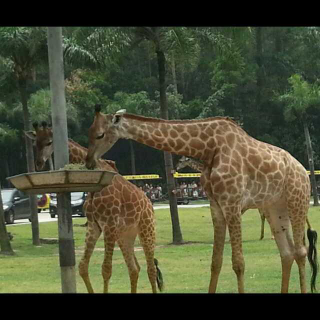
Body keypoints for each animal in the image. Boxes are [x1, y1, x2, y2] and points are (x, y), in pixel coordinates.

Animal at [85, 106, 318, 294]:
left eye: (100, 134)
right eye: (90, 132)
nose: (88, 162)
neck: (207, 147)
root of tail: (303, 171)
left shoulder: (232, 203)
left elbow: (239, 263)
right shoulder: (217, 206)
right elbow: (216, 261)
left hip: (297, 201)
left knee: (300, 251)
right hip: (274, 208)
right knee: (286, 253)